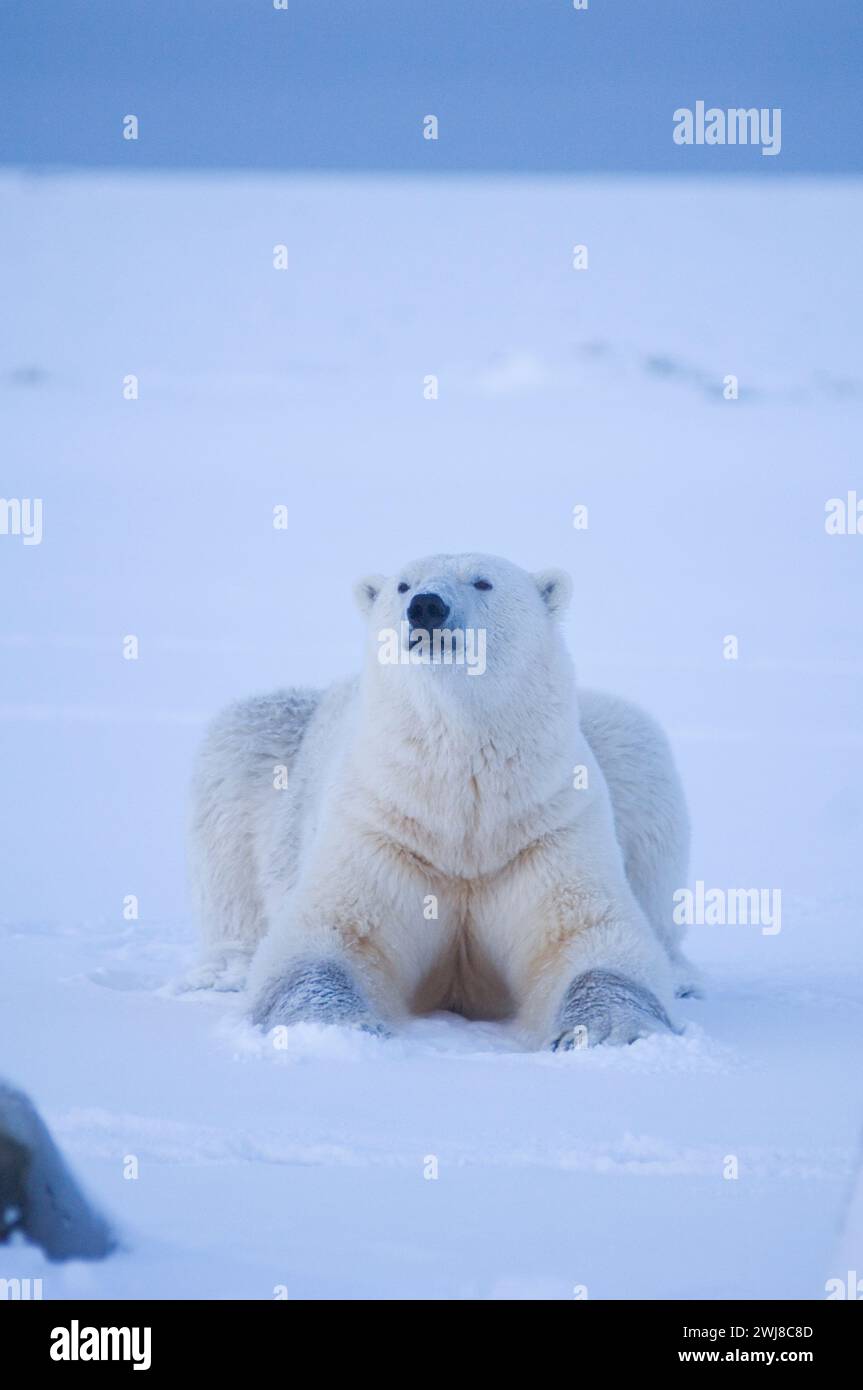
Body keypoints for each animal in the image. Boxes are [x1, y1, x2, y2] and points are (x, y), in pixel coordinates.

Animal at [188, 550, 692, 1045]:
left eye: (483, 581)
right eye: (402, 585)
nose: (427, 607)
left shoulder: (547, 827)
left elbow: (587, 934)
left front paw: (611, 1031)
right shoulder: (378, 827)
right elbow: (327, 935)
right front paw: (337, 1026)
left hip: (616, 741)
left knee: (644, 773)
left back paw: (682, 975)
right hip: (273, 746)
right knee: (233, 783)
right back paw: (226, 969)